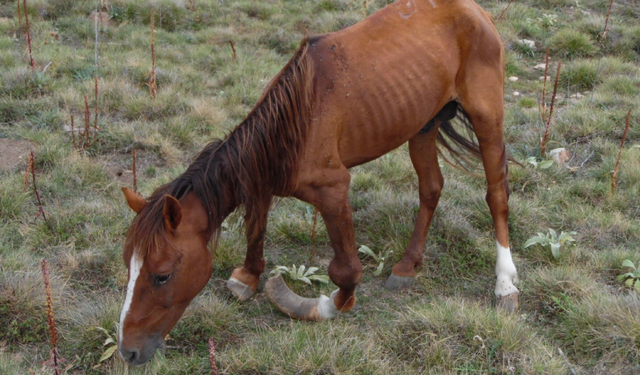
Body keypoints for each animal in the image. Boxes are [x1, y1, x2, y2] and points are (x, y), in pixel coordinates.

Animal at [117, 0, 520, 366]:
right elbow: (255, 228)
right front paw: (248, 277)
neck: (295, 122)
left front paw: (322, 306)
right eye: (129, 266)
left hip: (487, 117)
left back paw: (505, 284)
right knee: (431, 188)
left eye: (162, 276)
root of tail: (475, 10)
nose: (128, 351)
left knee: (496, 195)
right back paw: (407, 265)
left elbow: (346, 272)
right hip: (422, 125)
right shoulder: (261, 180)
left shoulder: (333, 190)